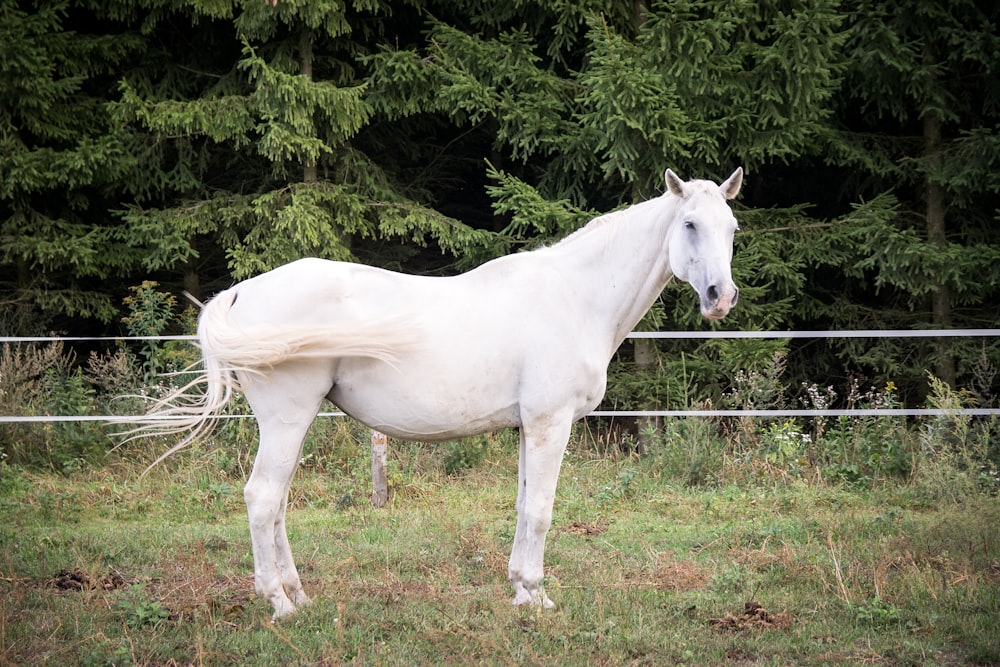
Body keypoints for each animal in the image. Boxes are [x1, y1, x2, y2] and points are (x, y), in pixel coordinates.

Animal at [133, 167, 744, 620]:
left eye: (733, 228)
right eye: (690, 223)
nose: (720, 297)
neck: (574, 296)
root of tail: (242, 292)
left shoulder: (528, 427)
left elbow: (523, 505)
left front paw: (520, 590)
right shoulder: (550, 423)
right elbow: (542, 509)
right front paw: (538, 596)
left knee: (276, 503)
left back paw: (299, 596)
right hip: (288, 418)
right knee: (262, 499)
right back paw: (279, 605)